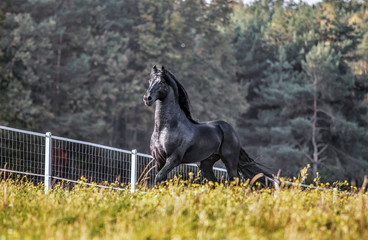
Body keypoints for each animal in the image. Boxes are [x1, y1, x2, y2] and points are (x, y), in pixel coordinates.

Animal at [142, 65, 274, 186]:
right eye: (149, 81)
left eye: (161, 82)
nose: (147, 98)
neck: (165, 128)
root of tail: (231, 130)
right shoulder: (159, 160)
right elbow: (160, 181)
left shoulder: (173, 159)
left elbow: (159, 177)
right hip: (205, 164)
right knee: (216, 183)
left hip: (230, 162)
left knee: (235, 182)